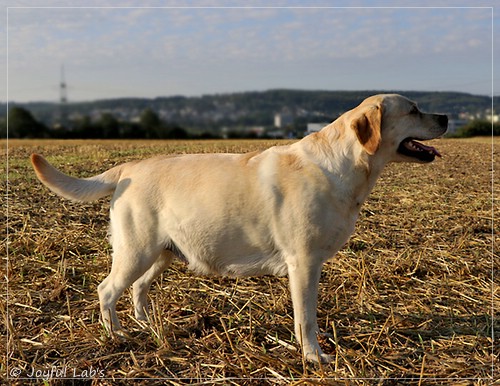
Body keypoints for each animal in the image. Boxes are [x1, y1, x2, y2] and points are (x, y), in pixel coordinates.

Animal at [31, 93, 448, 362]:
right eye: (414, 110)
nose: (445, 119)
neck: (343, 166)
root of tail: (127, 168)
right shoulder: (303, 262)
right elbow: (306, 318)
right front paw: (314, 356)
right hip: (136, 250)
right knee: (107, 290)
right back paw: (116, 335)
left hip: (162, 253)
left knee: (137, 289)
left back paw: (149, 327)